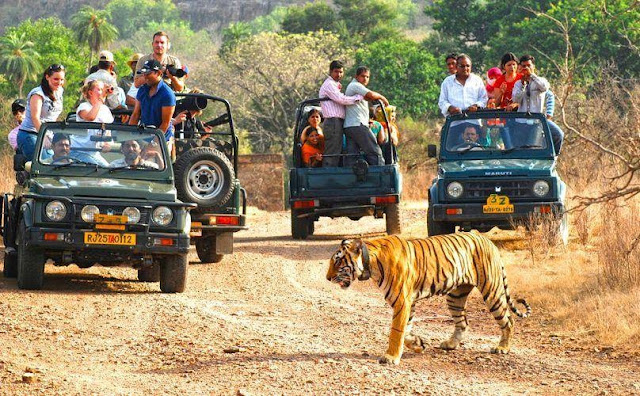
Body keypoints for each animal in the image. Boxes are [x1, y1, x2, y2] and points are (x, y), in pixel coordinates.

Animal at [324, 232, 528, 366]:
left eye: (338, 261)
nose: (327, 278)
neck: (370, 264)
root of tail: (487, 240)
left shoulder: (402, 301)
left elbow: (396, 331)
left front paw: (390, 357)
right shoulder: (409, 303)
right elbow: (406, 330)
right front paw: (417, 344)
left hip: (492, 291)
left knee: (508, 320)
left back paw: (502, 348)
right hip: (455, 296)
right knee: (463, 322)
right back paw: (450, 344)